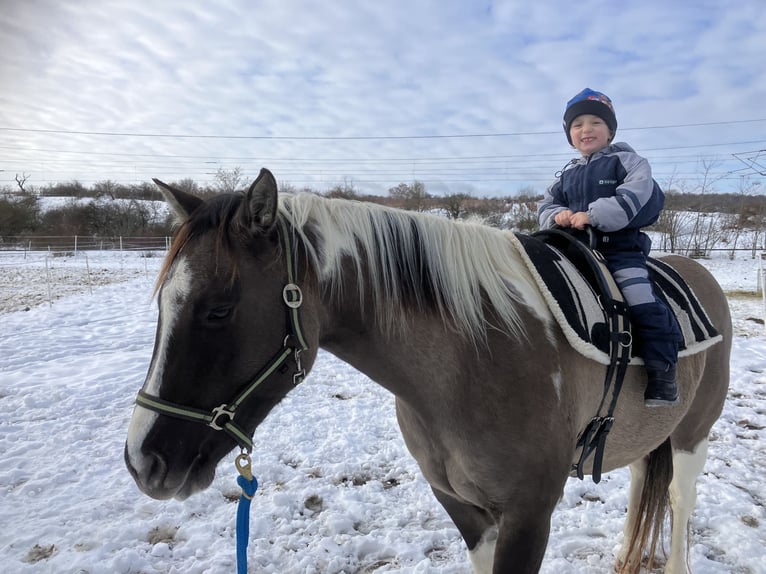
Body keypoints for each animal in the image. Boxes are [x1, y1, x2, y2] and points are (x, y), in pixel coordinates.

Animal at [125, 168, 731, 573]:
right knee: (643, 482)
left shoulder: (531, 512)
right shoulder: (462, 506)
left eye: (218, 310)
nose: (142, 462)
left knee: (678, 501)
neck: (477, 357)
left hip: (692, 436)